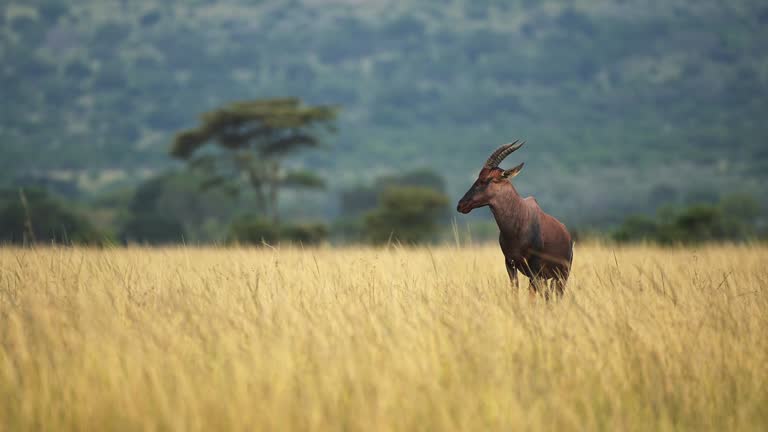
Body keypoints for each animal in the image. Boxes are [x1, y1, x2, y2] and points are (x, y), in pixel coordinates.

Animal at [456, 141, 568, 296]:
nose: (461, 205)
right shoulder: (509, 263)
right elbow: (514, 289)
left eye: (485, 180)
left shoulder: (534, 267)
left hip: (562, 276)